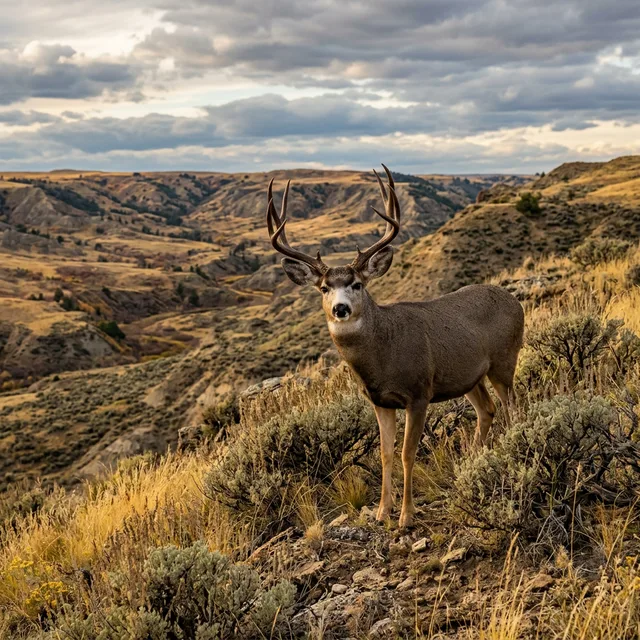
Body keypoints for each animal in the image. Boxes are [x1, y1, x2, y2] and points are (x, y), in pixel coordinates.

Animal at [265, 165, 524, 528]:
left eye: (357, 284)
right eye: (323, 288)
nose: (340, 308)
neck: (383, 357)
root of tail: (515, 301)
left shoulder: (418, 393)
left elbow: (407, 452)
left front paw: (406, 515)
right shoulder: (380, 401)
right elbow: (385, 453)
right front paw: (381, 511)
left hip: (504, 360)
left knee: (513, 405)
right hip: (467, 377)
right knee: (487, 409)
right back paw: (475, 459)